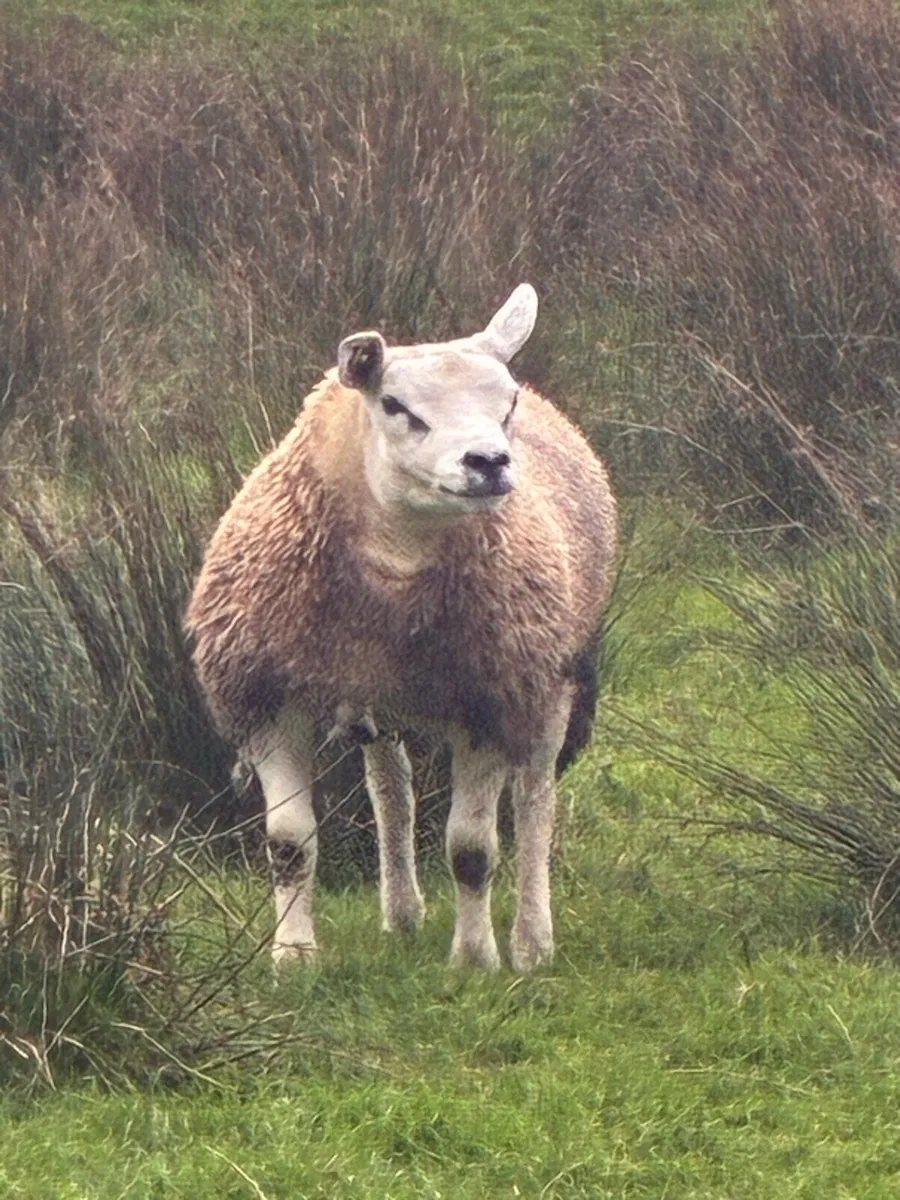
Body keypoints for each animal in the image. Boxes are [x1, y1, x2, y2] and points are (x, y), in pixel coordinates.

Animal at [185, 284, 617, 971]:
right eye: (394, 405)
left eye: (508, 402)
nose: (489, 462)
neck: (399, 557)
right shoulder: (269, 699)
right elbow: (289, 844)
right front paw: (293, 956)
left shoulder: (485, 701)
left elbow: (472, 849)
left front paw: (474, 960)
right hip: (379, 702)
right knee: (393, 790)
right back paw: (403, 912)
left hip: (547, 678)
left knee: (534, 799)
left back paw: (532, 942)